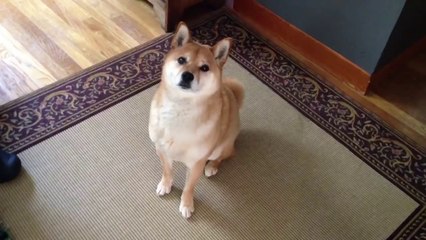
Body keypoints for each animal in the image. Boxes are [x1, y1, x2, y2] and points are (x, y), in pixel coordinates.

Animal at [149, 22, 243, 219]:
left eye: (205, 68)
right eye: (181, 60)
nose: (187, 76)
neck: (180, 109)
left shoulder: (197, 162)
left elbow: (189, 187)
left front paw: (186, 204)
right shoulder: (161, 149)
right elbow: (167, 171)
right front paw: (166, 184)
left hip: (220, 148)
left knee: (225, 156)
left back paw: (213, 167)